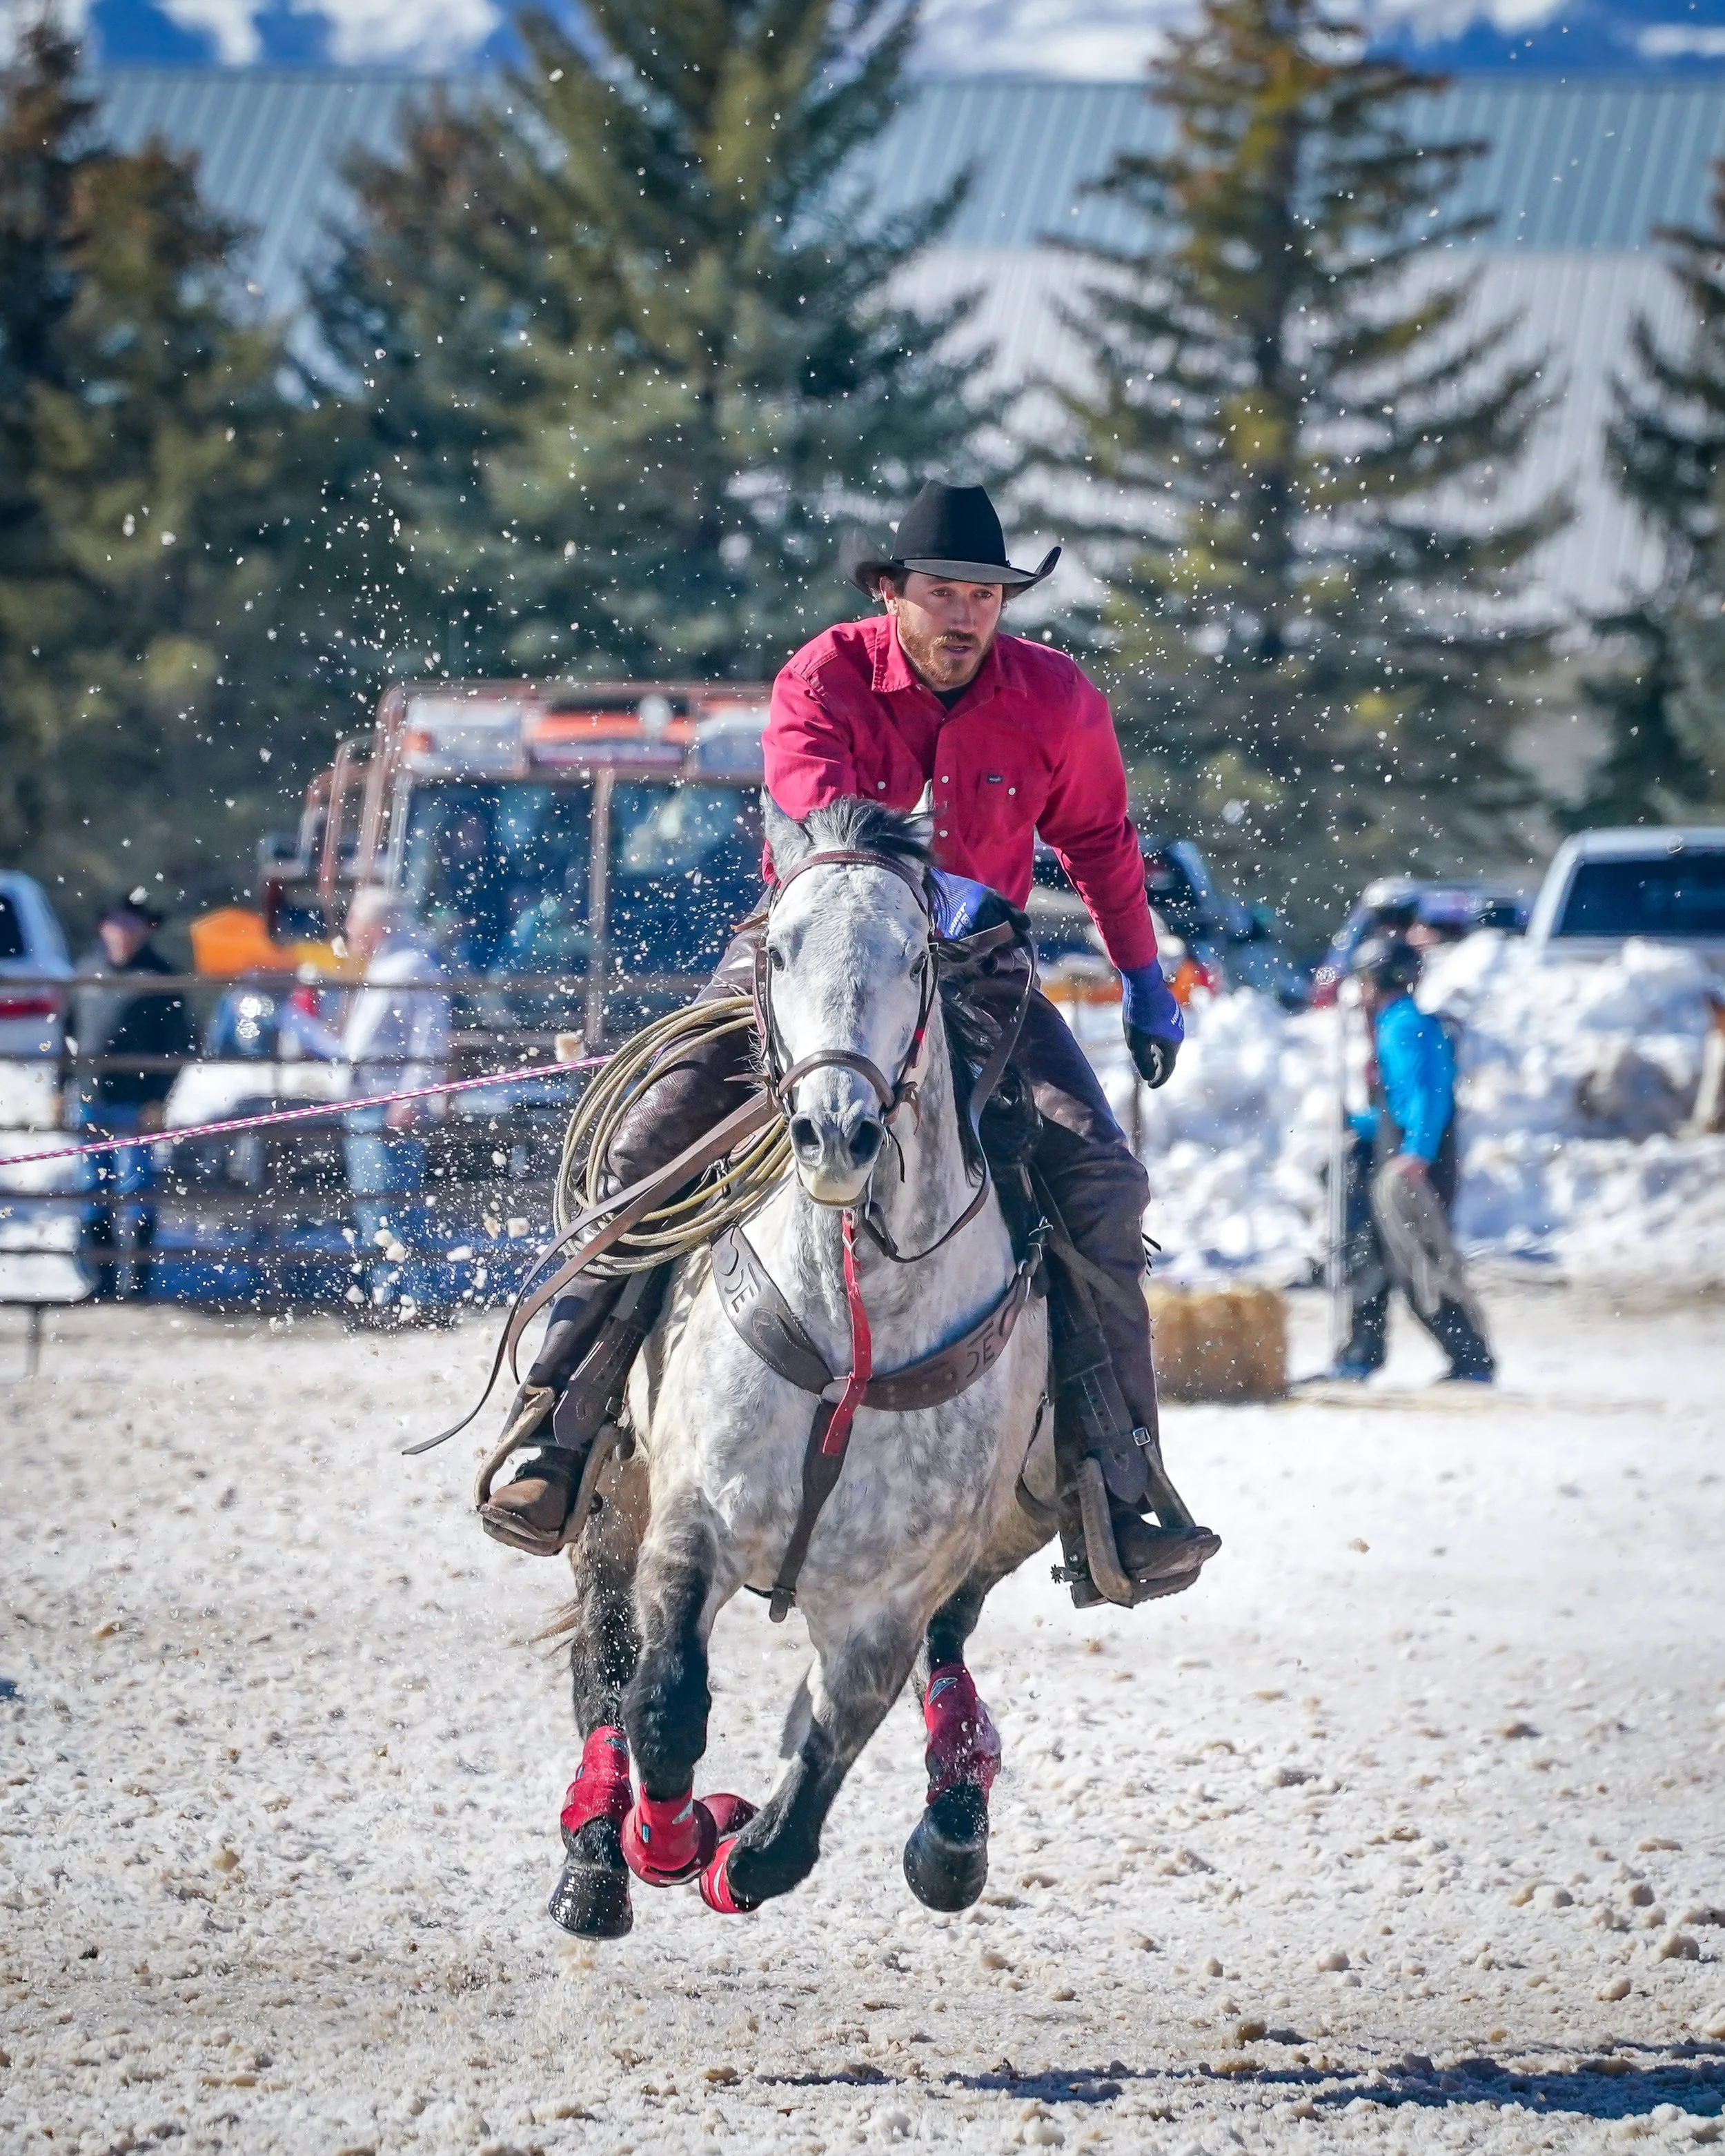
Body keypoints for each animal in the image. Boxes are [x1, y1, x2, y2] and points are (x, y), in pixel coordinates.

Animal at [546, 797, 1062, 1934]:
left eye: (916, 954)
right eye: (776, 948)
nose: (835, 1130)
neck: (855, 1327)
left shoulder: (886, 1609)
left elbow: (802, 1812)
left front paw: (737, 1850)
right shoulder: (689, 1522)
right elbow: (664, 1704)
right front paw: (672, 1840)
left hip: (1012, 1524)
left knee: (953, 1646)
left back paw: (955, 1824)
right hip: (612, 1489)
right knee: (604, 1655)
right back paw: (597, 1859)